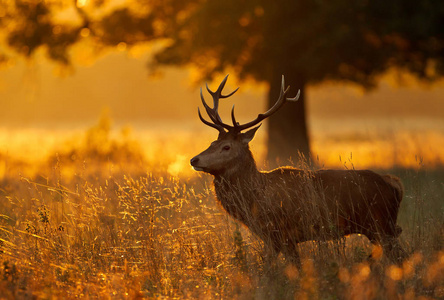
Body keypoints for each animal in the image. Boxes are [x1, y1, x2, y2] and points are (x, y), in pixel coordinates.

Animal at [191, 76, 406, 264]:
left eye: (226, 147)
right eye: (212, 143)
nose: (194, 159)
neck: (255, 200)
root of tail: (395, 184)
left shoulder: (282, 233)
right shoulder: (272, 237)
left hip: (380, 224)